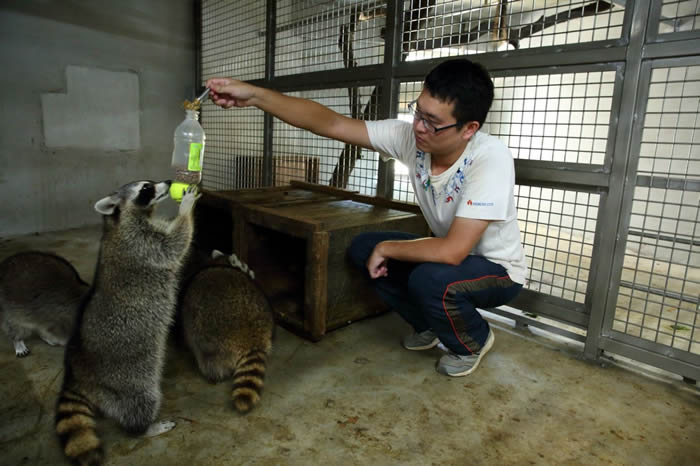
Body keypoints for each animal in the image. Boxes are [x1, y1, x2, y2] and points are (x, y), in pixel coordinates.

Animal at [53, 179, 197, 466]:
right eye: (146, 189)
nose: (167, 182)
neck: (118, 220)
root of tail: (76, 373)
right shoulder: (140, 243)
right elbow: (172, 244)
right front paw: (186, 209)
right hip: (127, 379)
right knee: (139, 402)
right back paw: (144, 428)